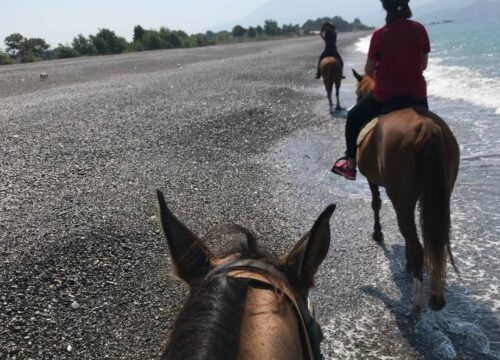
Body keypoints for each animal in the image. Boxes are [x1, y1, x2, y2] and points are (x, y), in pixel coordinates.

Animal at [350, 70, 458, 312]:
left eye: (358, 93)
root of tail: (427, 127)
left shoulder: (372, 180)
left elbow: (375, 203)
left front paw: (378, 233)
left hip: (402, 198)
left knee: (417, 245)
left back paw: (416, 302)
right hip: (442, 193)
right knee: (435, 242)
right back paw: (436, 295)